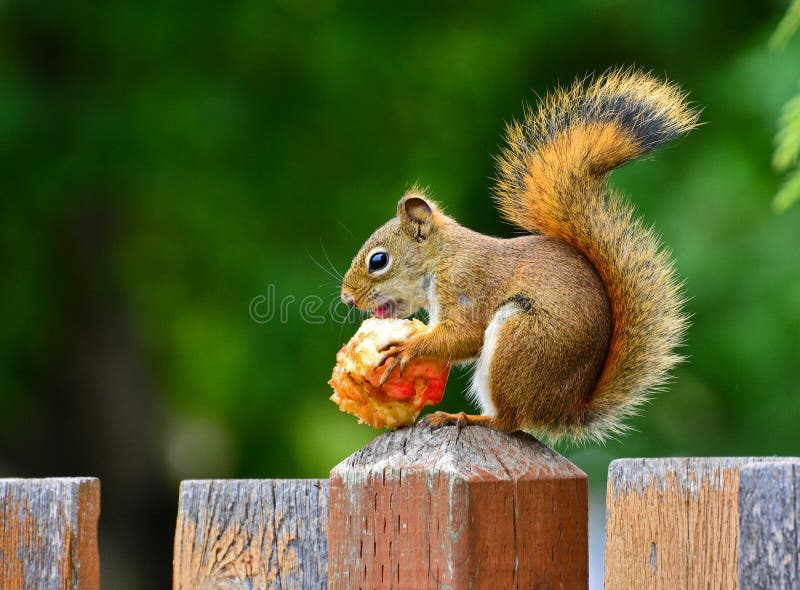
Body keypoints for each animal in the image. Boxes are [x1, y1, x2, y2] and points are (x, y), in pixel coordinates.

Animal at [340, 69, 696, 444]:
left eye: (378, 261)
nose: (347, 299)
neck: (443, 258)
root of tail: (565, 409)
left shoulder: (468, 283)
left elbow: (465, 335)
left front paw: (407, 349)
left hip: (520, 341)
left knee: (509, 421)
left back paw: (463, 417)